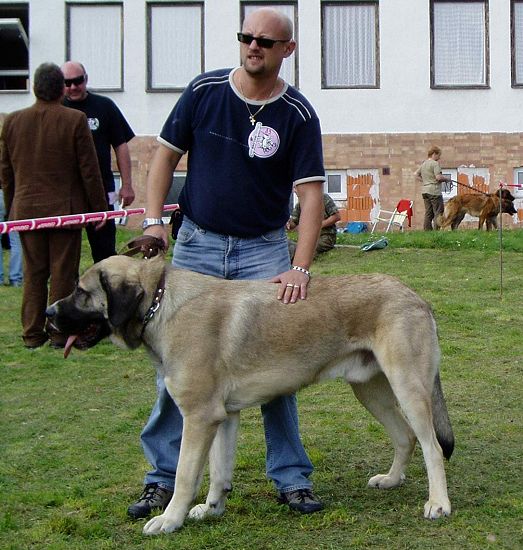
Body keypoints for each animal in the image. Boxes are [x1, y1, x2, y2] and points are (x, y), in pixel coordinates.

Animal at [47, 256, 456, 536]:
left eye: (81, 293)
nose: (49, 314)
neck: (160, 304)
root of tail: (416, 296)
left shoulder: (198, 417)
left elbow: (184, 476)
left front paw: (170, 519)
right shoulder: (223, 416)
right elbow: (218, 471)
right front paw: (212, 508)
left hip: (408, 387)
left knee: (432, 446)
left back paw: (438, 503)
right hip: (371, 391)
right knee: (405, 437)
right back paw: (392, 480)